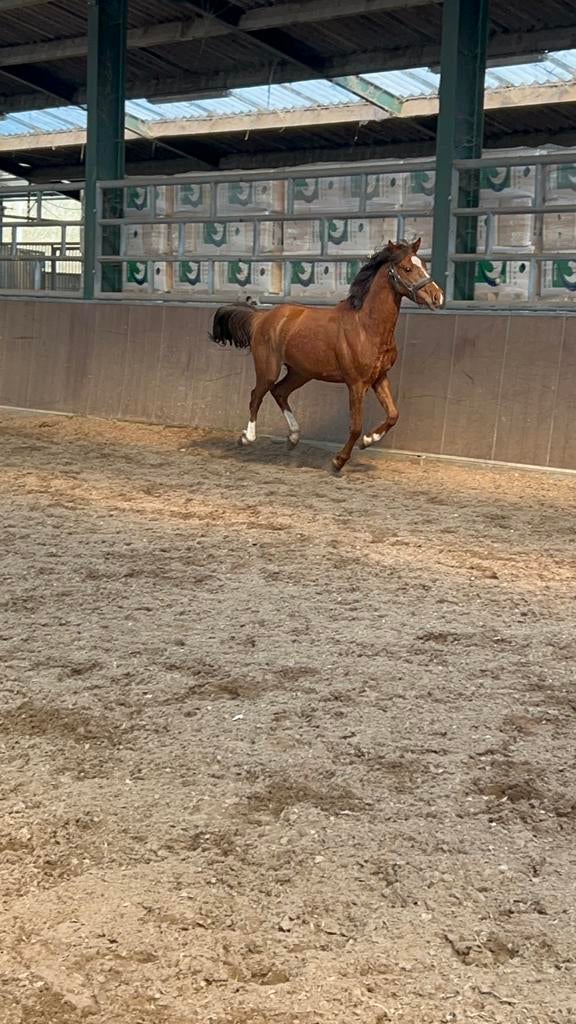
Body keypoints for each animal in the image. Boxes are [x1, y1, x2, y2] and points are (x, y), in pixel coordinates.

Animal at [211, 239, 444, 471]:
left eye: (424, 264)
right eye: (407, 268)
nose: (437, 296)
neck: (366, 327)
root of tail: (261, 317)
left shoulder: (379, 377)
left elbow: (394, 414)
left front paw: (369, 440)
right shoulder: (356, 383)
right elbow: (355, 426)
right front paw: (338, 461)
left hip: (301, 372)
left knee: (280, 392)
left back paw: (293, 437)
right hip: (268, 369)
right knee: (256, 395)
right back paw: (247, 437)